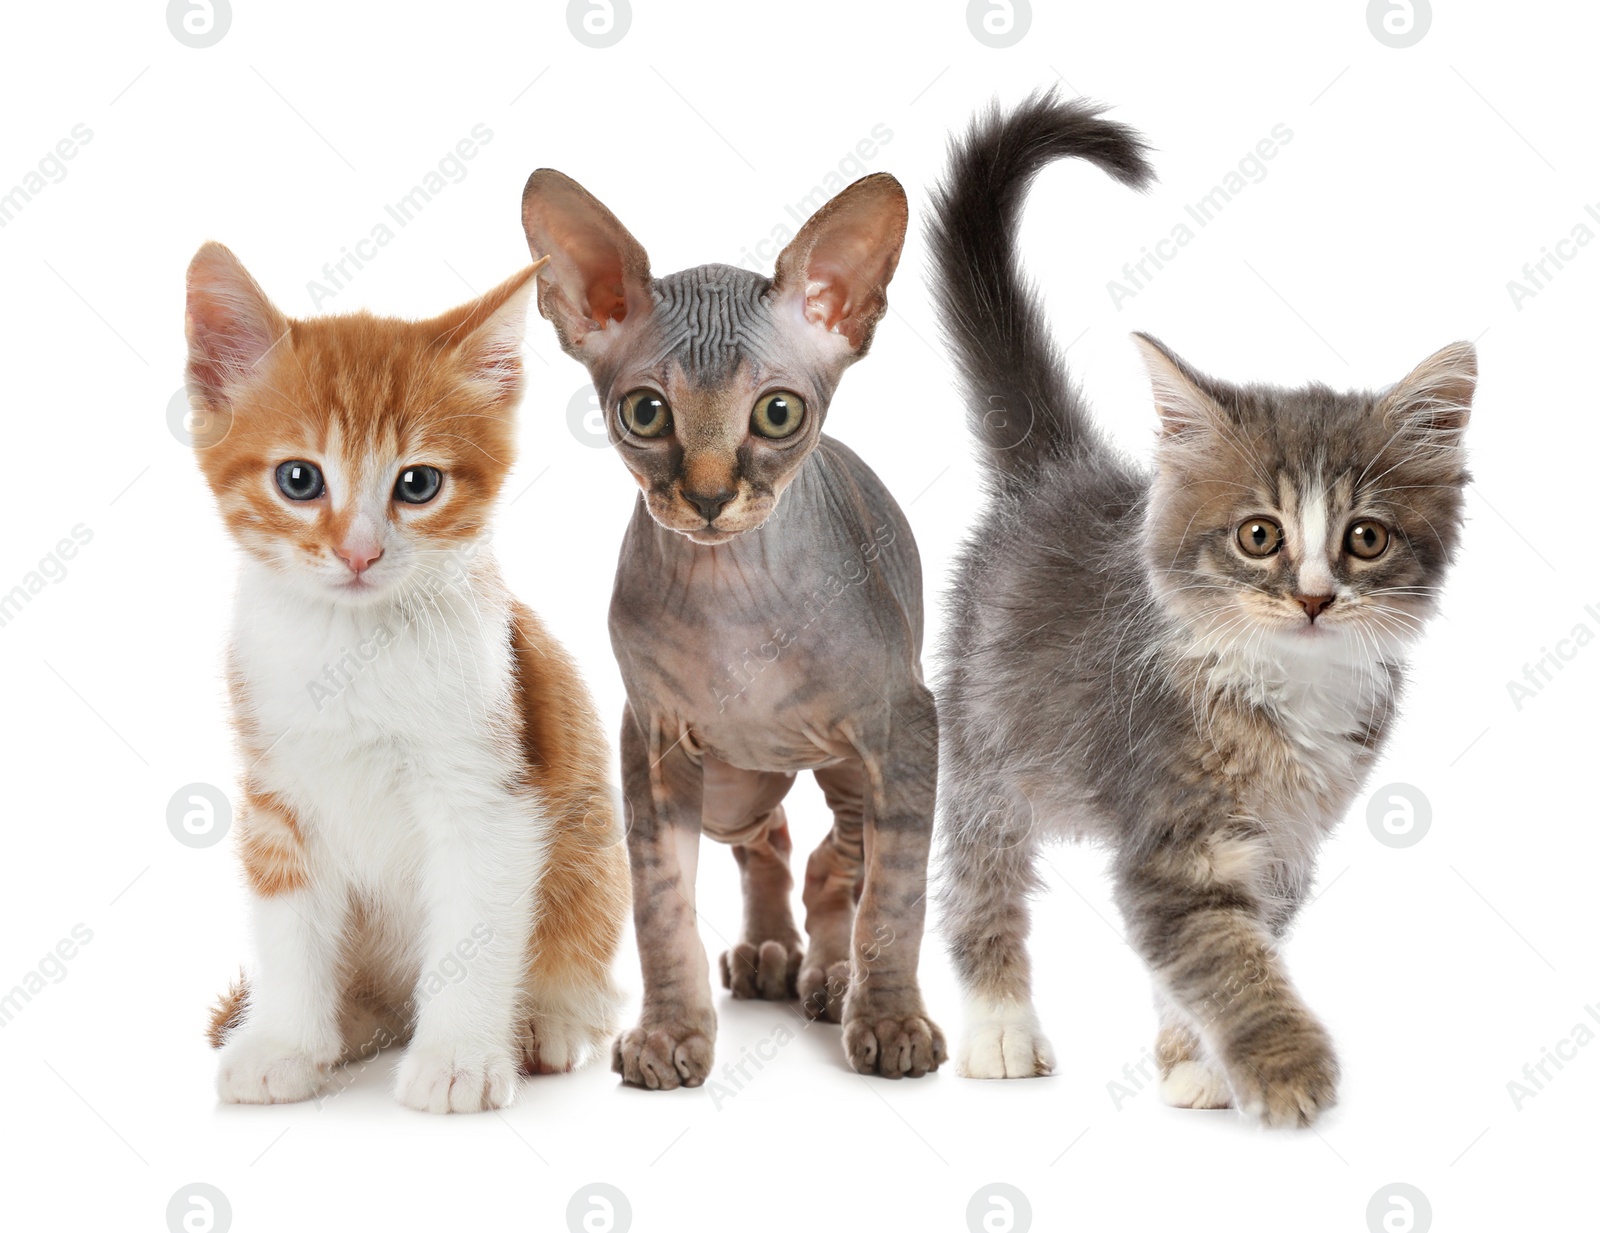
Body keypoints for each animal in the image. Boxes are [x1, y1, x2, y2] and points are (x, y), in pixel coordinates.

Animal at [188, 246, 630, 1113]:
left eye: (418, 484)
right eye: (299, 479)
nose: (359, 551)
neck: (352, 649)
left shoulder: (490, 792)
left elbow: (474, 929)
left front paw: (459, 1057)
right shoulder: (277, 794)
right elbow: (290, 923)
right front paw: (285, 1041)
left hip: (594, 855)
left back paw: (548, 1024)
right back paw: (349, 1023)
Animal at [524, 168, 940, 1087]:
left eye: (777, 413)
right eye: (646, 413)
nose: (710, 497)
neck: (735, 607)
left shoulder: (905, 730)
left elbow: (894, 898)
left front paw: (890, 1018)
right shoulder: (651, 741)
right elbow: (660, 906)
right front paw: (670, 1034)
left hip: (850, 769)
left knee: (837, 863)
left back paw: (829, 974)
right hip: (730, 785)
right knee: (775, 839)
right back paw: (770, 953)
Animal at [934, 91, 1478, 1125]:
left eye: (1365, 539)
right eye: (1260, 535)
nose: (1313, 598)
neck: (1288, 687)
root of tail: (1057, 475)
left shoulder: (1287, 842)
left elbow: (1219, 950)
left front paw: (1197, 1062)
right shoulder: (1172, 832)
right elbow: (1227, 957)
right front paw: (1285, 1068)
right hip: (987, 735)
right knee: (980, 867)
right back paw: (997, 1024)